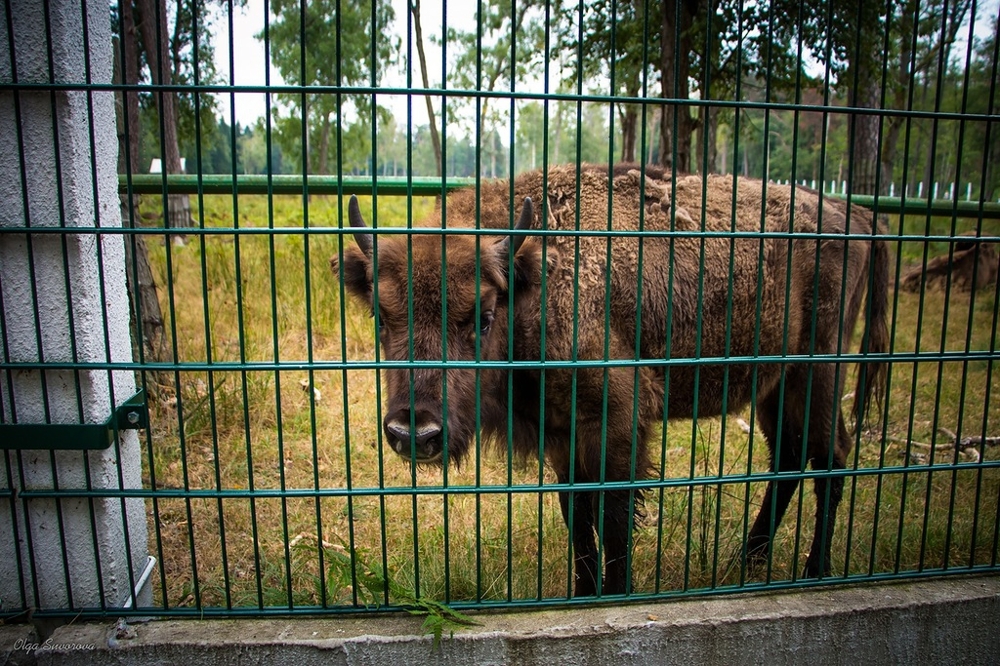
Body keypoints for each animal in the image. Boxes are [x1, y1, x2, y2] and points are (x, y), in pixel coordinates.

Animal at [336, 163, 892, 592]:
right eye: (381, 318)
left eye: (483, 316)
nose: (414, 433)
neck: (536, 282)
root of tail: (857, 215)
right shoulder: (563, 435)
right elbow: (579, 519)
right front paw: (584, 592)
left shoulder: (617, 424)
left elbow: (614, 518)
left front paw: (616, 592)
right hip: (773, 385)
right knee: (789, 458)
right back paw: (747, 560)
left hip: (817, 370)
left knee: (830, 457)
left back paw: (815, 571)